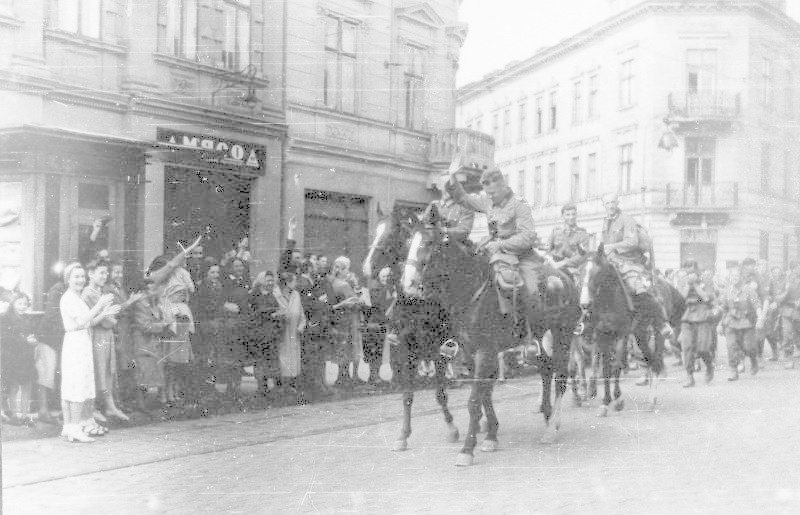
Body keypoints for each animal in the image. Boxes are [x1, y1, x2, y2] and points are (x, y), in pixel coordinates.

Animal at [360, 203, 460, 452]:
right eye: (375, 232)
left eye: (390, 234)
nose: (367, 267)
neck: (416, 302)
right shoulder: (406, 350)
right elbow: (407, 395)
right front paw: (403, 435)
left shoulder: (438, 350)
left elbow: (440, 393)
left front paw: (452, 429)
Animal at [400, 207, 580, 468]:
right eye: (408, 244)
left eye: (429, 242)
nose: (408, 284)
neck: (471, 290)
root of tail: (565, 276)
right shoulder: (469, 351)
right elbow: (484, 393)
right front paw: (490, 436)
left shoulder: (484, 351)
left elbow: (475, 400)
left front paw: (467, 449)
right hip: (539, 338)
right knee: (546, 371)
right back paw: (547, 416)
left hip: (562, 335)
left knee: (562, 377)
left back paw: (551, 429)